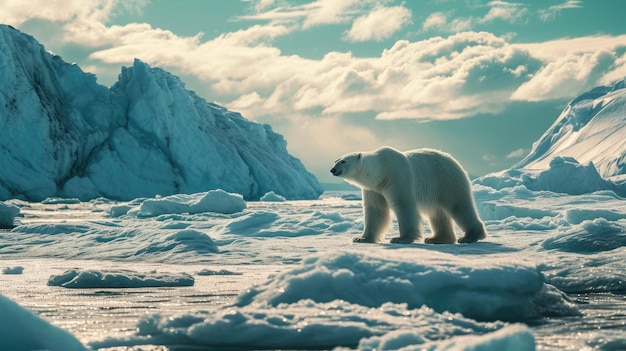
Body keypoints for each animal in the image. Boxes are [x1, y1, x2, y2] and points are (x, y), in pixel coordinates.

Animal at [330, 146, 486, 245]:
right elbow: (375, 210)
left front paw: (400, 238)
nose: (332, 169)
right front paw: (361, 238)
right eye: (336, 160)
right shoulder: (374, 189)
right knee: (438, 212)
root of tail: (455, 161)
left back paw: (470, 236)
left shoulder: (397, 176)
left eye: (343, 161)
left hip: (446, 180)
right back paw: (436, 239)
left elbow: (403, 205)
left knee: (459, 205)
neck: (381, 172)